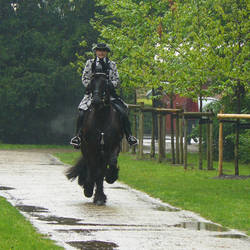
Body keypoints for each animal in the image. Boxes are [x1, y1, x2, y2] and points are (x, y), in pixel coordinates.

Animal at [66, 73, 123, 205]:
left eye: (105, 83)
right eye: (92, 83)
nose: (96, 101)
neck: (101, 117)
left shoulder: (113, 146)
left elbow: (109, 165)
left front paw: (110, 178)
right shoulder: (91, 147)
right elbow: (94, 169)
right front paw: (90, 189)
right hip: (87, 148)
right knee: (91, 166)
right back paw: (87, 186)